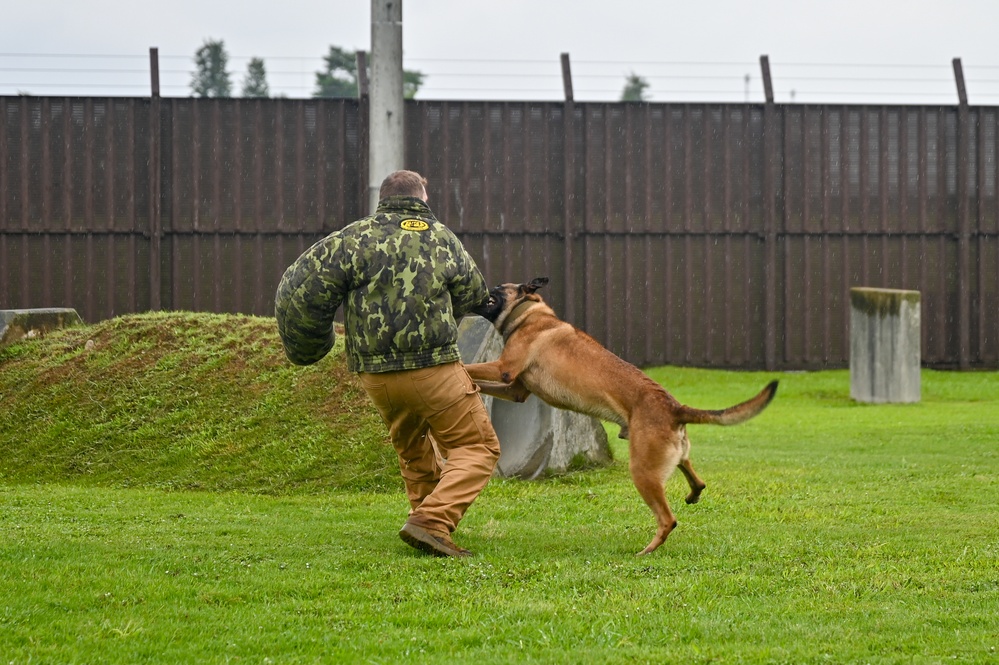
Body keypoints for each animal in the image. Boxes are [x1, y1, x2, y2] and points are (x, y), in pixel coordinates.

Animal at [464, 276, 776, 556]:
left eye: (497, 288)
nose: (479, 288)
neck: (529, 314)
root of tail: (675, 407)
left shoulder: (504, 369)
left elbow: (471, 367)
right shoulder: (515, 389)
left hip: (643, 471)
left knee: (668, 519)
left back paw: (646, 551)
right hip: (672, 457)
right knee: (696, 479)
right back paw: (692, 494)